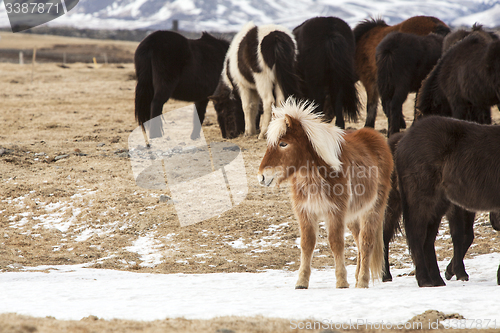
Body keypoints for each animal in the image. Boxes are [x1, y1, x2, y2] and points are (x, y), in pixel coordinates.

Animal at [260, 97, 392, 286]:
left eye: (283, 143)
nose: (262, 176)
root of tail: (376, 138)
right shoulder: (306, 212)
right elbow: (307, 244)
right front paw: (301, 282)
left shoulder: (335, 212)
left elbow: (336, 243)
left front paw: (341, 282)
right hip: (352, 215)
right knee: (359, 240)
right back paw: (357, 277)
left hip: (372, 209)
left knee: (366, 243)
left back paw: (362, 282)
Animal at [396, 116, 500, 286]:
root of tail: (403, 140)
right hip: (422, 201)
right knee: (417, 237)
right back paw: (424, 280)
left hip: (438, 205)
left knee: (428, 241)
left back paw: (437, 280)